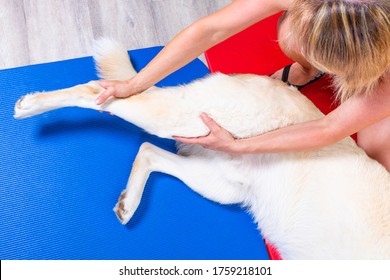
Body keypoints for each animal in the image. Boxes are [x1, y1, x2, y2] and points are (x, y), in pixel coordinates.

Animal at [13, 39, 388, 260]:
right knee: (98, 92)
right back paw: (30, 105)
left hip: (218, 183)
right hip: (181, 117)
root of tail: (278, 85)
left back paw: (129, 204)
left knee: (148, 150)